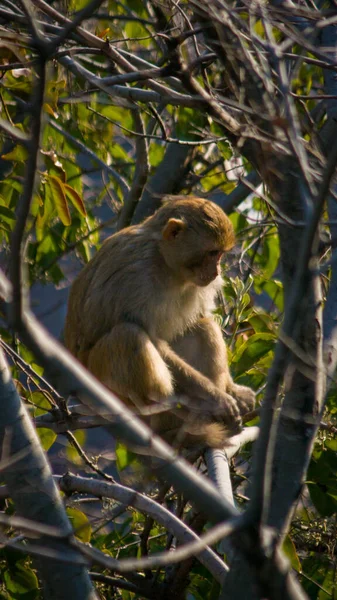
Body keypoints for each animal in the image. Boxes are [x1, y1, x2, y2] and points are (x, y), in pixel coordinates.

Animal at [64, 197, 255, 450]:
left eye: (220, 254)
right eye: (212, 253)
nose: (216, 271)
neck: (166, 263)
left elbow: (199, 317)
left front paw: (233, 391)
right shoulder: (135, 277)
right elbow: (153, 340)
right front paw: (217, 399)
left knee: (202, 326)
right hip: (106, 389)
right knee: (128, 335)